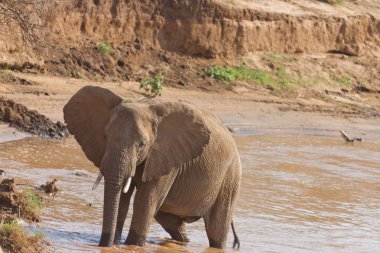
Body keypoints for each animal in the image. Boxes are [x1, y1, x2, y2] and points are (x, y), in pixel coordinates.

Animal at [62, 86, 240, 249]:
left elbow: (144, 202)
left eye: (142, 144)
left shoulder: (166, 156)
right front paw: (118, 244)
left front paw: (132, 246)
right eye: (105, 136)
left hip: (230, 178)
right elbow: (123, 200)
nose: (104, 246)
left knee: (216, 229)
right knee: (170, 221)